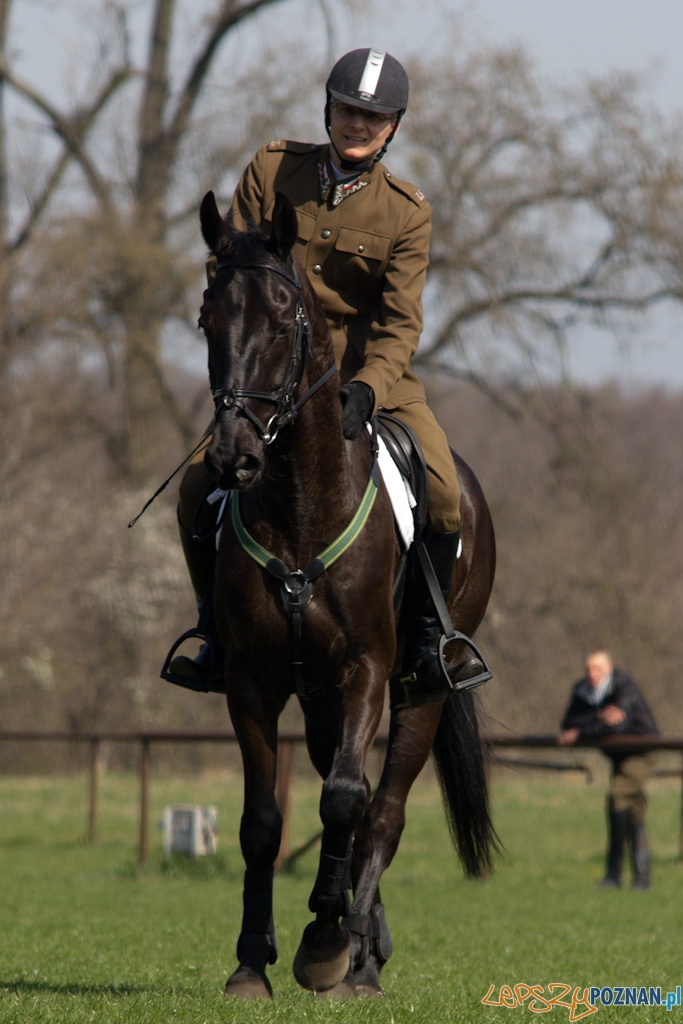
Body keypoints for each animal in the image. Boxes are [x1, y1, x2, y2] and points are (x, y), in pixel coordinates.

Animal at [196, 188, 497, 995]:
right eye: (208, 318)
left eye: (283, 320)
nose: (233, 456)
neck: (303, 501)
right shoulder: (254, 677)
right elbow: (263, 822)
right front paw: (252, 961)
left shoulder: (366, 668)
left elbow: (345, 798)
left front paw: (326, 941)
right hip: (318, 695)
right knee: (351, 802)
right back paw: (365, 943)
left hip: (420, 688)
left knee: (382, 808)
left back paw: (355, 951)